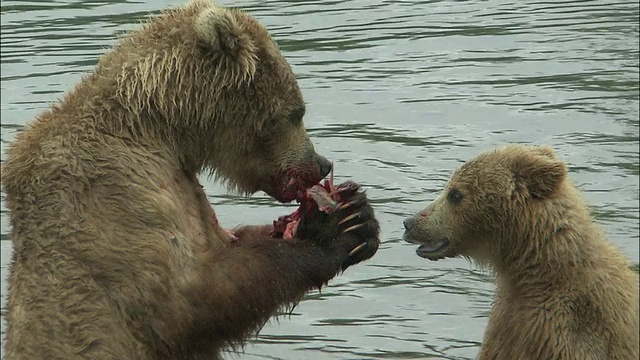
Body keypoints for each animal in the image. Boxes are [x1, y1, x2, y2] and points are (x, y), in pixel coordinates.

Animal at [0, 1, 380, 358]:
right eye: (296, 112)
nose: (321, 163)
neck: (161, 132)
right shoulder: (116, 193)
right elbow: (184, 302)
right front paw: (332, 230)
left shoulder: (185, 188)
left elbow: (229, 242)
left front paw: (357, 213)